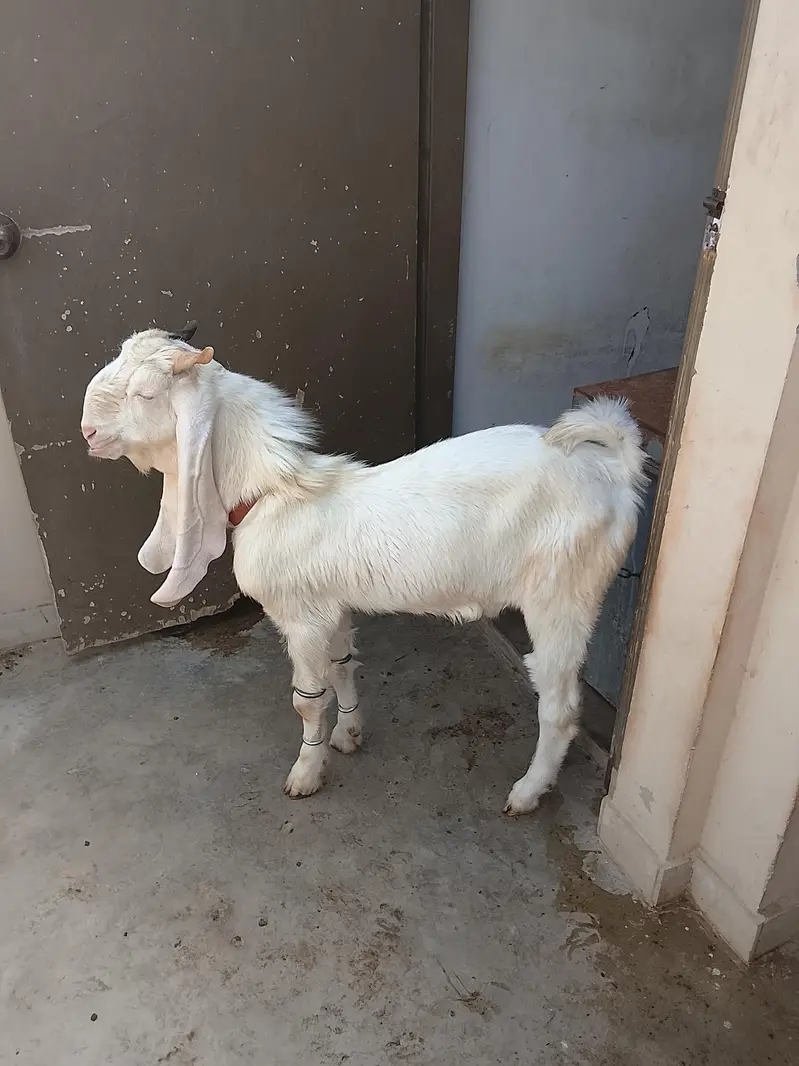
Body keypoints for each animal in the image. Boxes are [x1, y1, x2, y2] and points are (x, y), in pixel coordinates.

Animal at [81, 326, 645, 814]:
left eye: (146, 393)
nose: (87, 431)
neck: (275, 494)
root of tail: (612, 471)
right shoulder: (330, 608)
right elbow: (343, 666)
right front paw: (347, 735)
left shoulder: (299, 619)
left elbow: (307, 701)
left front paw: (305, 773)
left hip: (563, 592)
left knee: (560, 705)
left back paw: (527, 792)